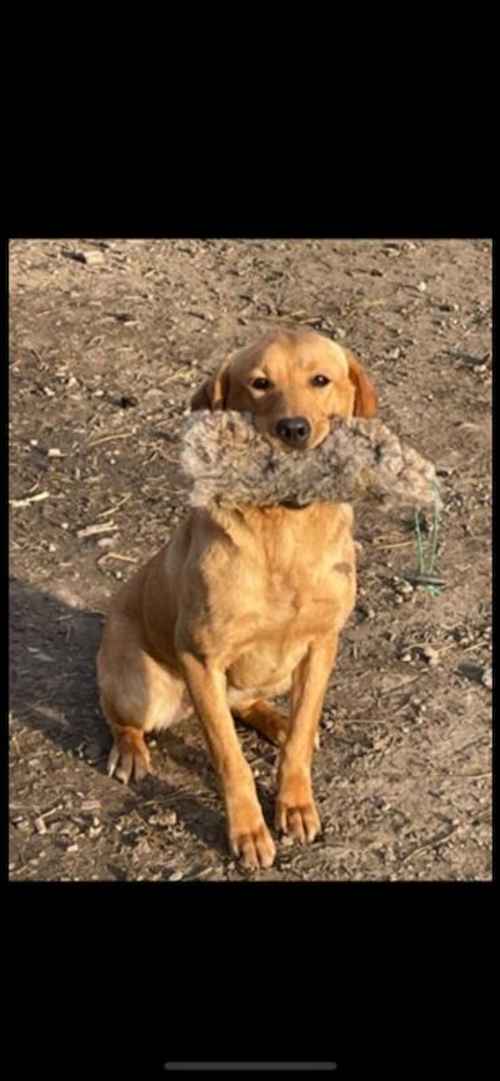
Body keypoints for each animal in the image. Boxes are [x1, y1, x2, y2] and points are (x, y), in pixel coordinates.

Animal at [97, 328, 377, 869]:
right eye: (260, 383)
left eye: (320, 380)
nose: (294, 428)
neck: (285, 529)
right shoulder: (201, 657)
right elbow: (231, 760)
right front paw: (247, 830)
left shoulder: (321, 645)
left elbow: (298, 743)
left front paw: (295, 802)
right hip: (142, 688)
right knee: (120, 717)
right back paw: (131, 751)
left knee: (254, 707)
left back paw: (278, 722)